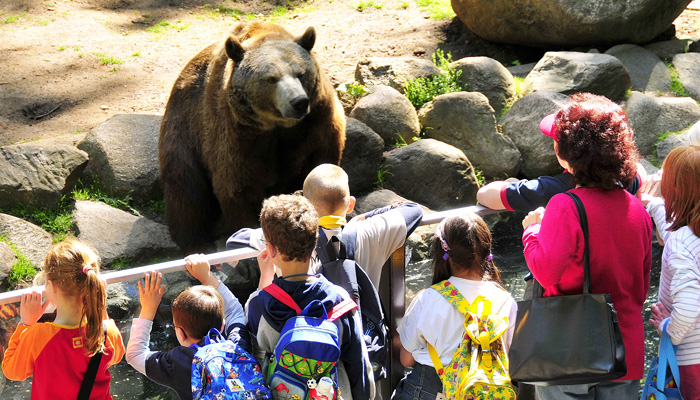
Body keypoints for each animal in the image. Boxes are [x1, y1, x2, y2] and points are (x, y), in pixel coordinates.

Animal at [159, 21, 344, 252]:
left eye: (300, 73)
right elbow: (239, 186)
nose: (298, 101)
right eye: (271, 78)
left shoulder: (317, 122)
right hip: (184, 132)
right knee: (186, 187)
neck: (279, 126)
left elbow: (320, 161)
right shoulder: (238, 133)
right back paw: (196, 242)